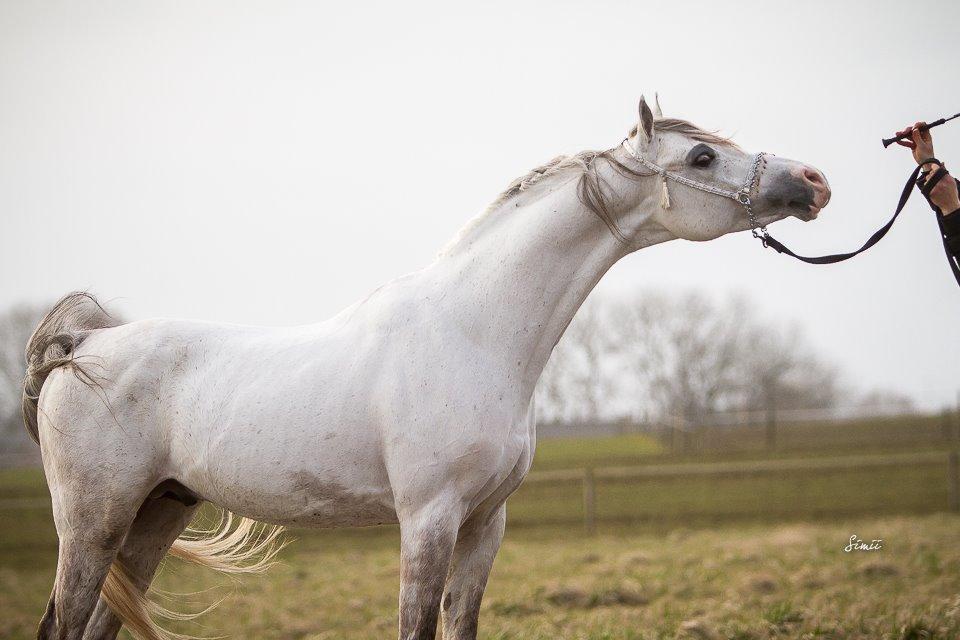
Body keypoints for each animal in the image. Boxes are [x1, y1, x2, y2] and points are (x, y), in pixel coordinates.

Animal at [24, 96, 832, 640]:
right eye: (702, 158)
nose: (814, 180)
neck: (472, 333)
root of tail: (81, 349)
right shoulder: (428, 520)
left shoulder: (484, 524)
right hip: (93, 523)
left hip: (155, 515)